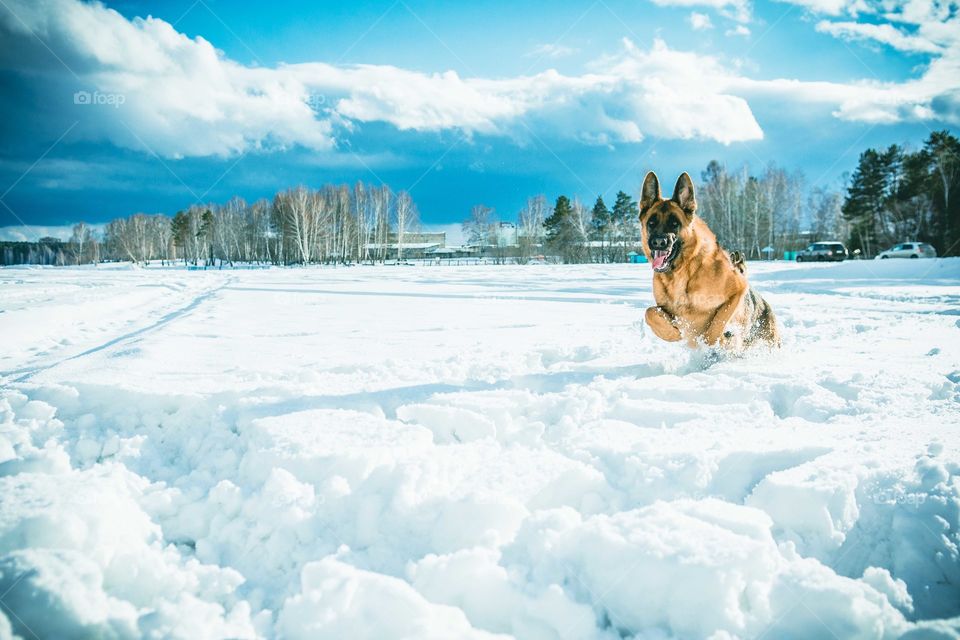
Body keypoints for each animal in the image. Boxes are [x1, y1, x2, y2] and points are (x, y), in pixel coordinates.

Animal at [636, 171, 780, 350]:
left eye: (674, 223)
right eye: (651, 223)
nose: (658, 242)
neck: (683, 272)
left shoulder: (738, 288)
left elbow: (717, 323)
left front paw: (710, 340)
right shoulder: (664, 310)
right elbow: (649, 312)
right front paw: (673, 333)